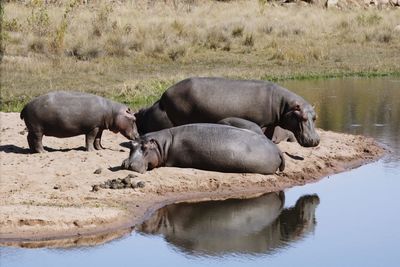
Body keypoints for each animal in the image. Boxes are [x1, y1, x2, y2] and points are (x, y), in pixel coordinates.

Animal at [136, 77, 320, 148]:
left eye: (315, 117)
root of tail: (162, 98)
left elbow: (269, 133)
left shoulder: (270, 124)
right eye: (302, 117)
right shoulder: (261, 123)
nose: (315, 140)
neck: (284, 105)